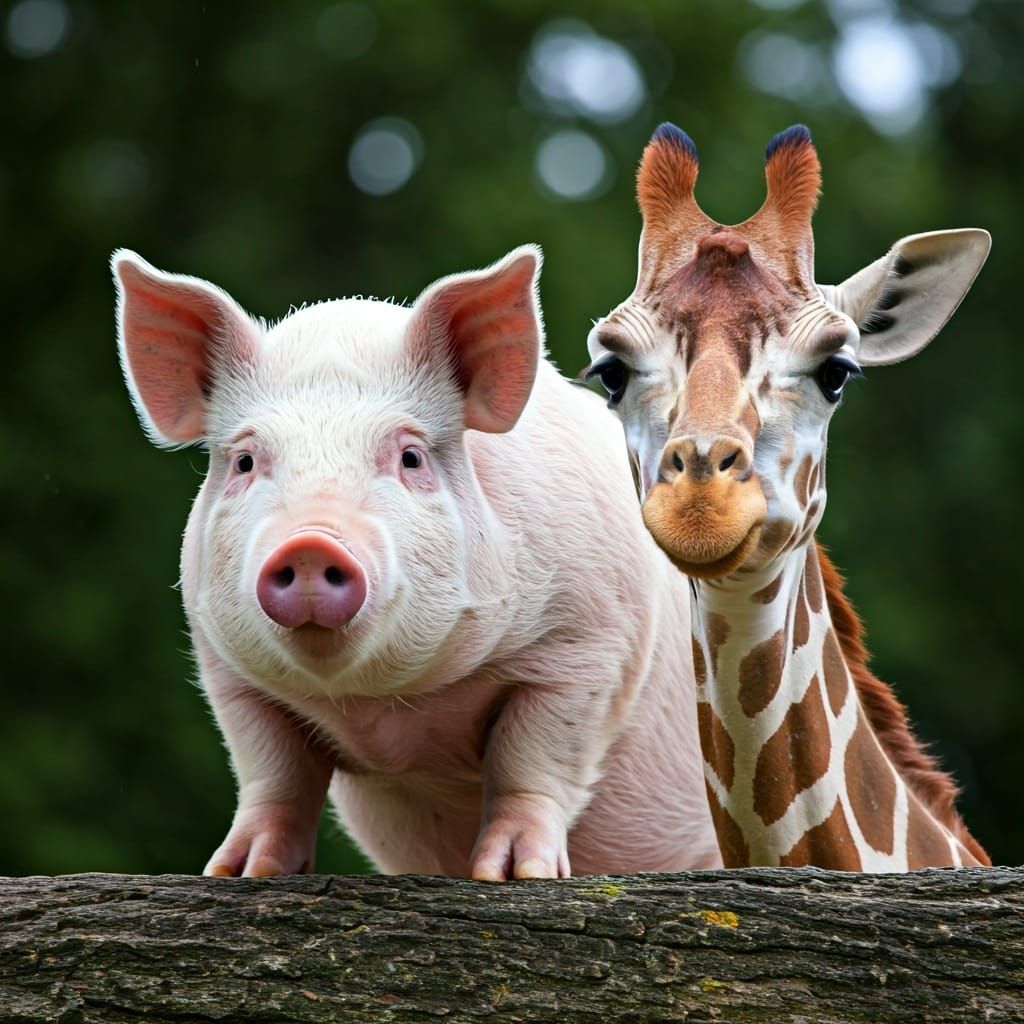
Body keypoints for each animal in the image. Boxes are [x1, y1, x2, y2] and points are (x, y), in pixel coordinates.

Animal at [113, 245, 721, 879]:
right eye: (246, 462)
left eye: (409, 456)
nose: (310, 543)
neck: (385, 711)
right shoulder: (227, 669)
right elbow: (273, 773)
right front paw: (238, 873)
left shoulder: (589, 644)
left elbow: (534, 760)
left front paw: (513, 874)